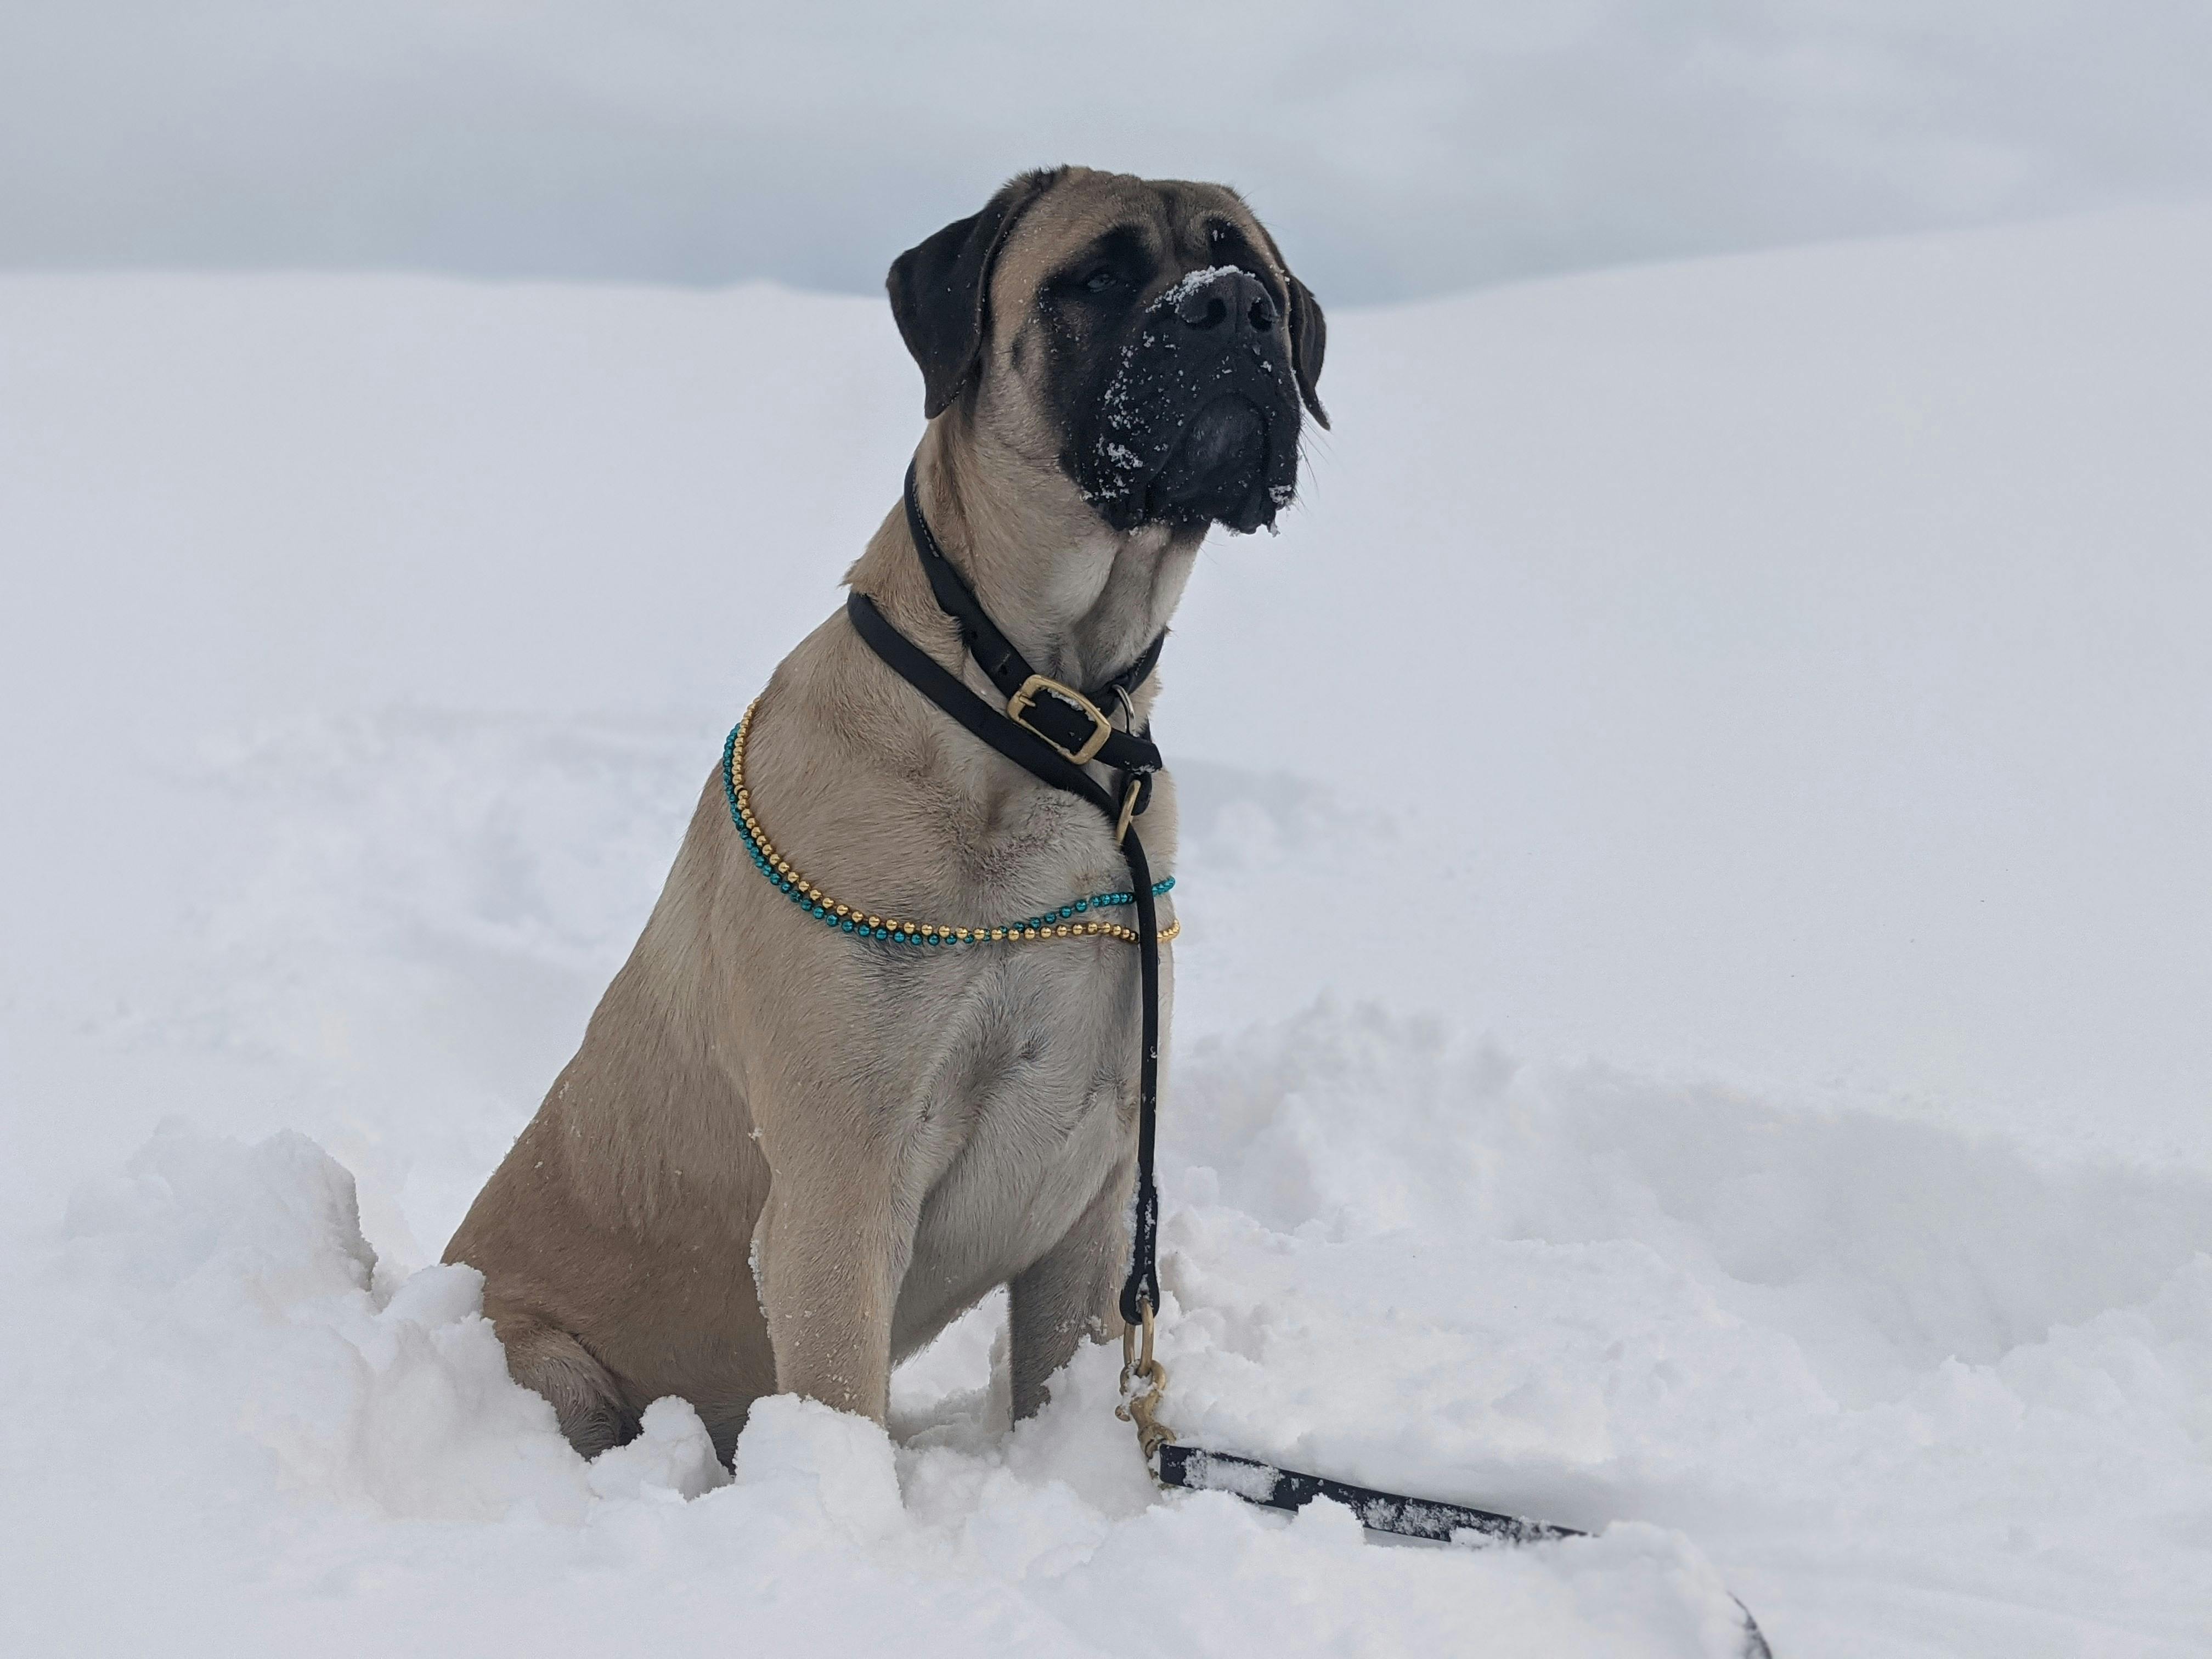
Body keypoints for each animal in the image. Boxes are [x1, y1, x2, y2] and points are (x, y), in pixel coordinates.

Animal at [445, 165, 1327, 1460]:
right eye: (1098, 276)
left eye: (1252, 271)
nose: (1232, 312)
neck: (1036, 714)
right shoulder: (839, 1183)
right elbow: (841, 1399)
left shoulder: (1095, 1195)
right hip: (548, 1364)